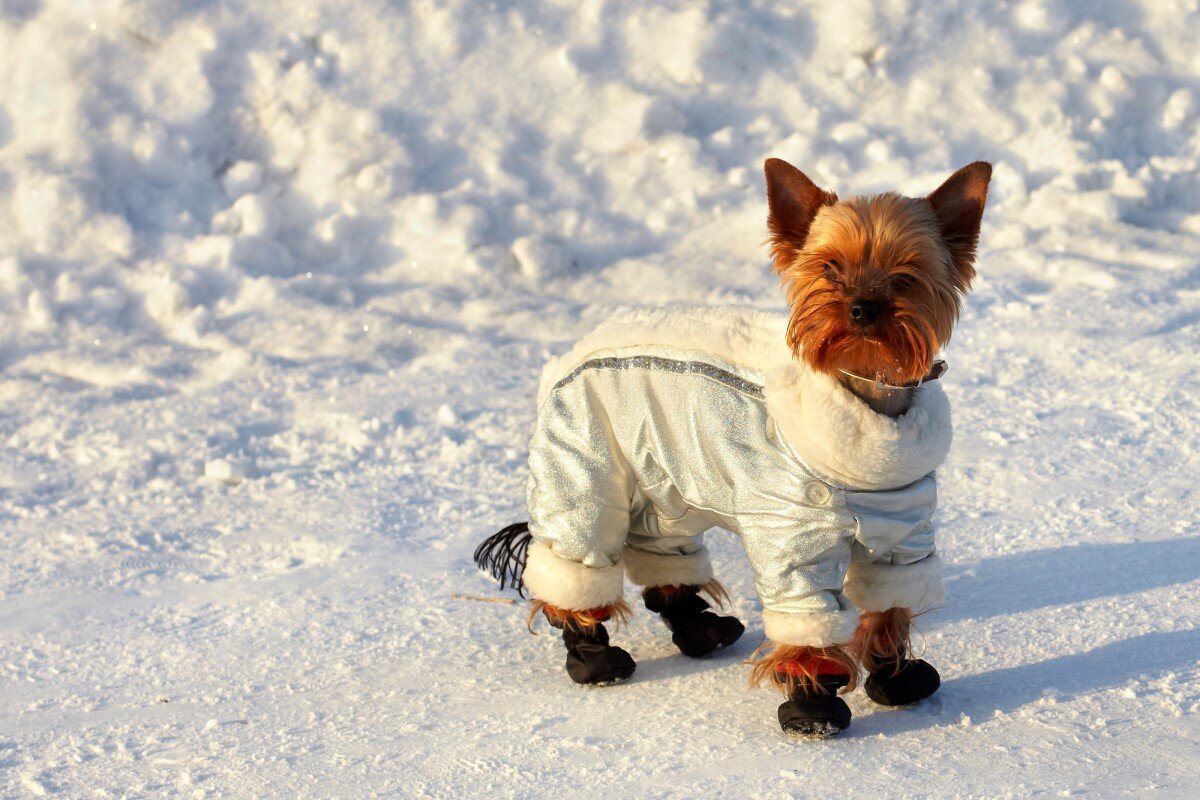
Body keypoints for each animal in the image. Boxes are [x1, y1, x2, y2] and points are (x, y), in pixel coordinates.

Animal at [472, 159, 988, 743]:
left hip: (666, 484)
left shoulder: (903, 532)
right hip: (586, 469)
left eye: (907, 271)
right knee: (577, 560)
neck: (868, 403)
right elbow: (805, 618)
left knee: (662, 552)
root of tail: (571, 355)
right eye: (830, 267)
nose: (863, 307)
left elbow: (890, 603)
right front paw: (813, 706)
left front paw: (896, 676)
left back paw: (700, 627)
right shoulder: (794, 542)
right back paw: (592, 654)